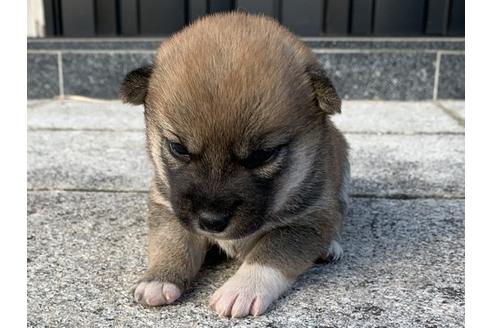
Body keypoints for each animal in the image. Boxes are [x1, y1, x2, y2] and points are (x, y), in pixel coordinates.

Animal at [120, 12, 348, 318]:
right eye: (178, 149)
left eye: (262, 156)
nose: (211, 222)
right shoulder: (167, 206)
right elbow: (172, 243)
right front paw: (159, 279)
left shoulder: (307, 220)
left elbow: (271, 253)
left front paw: (242, 289)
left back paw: (329, 246)